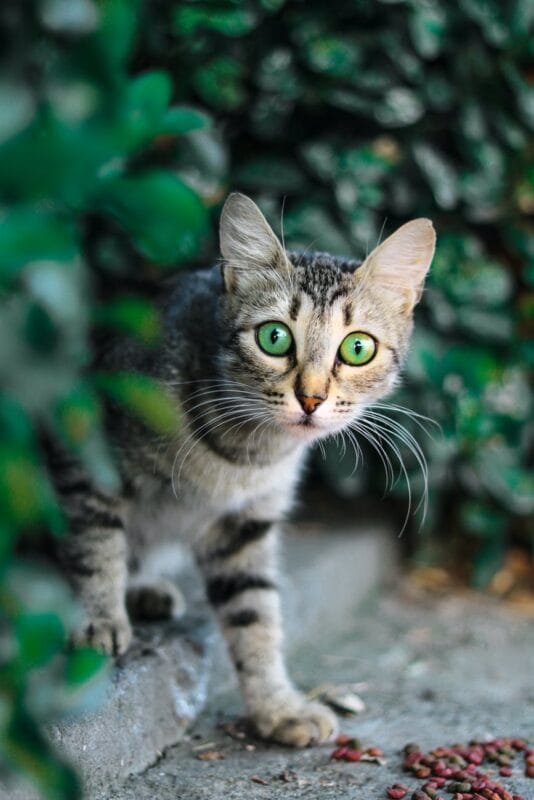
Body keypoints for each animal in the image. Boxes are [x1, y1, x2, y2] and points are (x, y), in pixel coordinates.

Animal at [54, 194, 438, 752]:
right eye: (274, 337)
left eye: (357, 348)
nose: (311, 398)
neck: (246, 455)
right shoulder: (85, 446)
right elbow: (93, 542)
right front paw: (96, 619)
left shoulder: (246, 524)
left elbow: (256, 615)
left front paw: (277, 707)